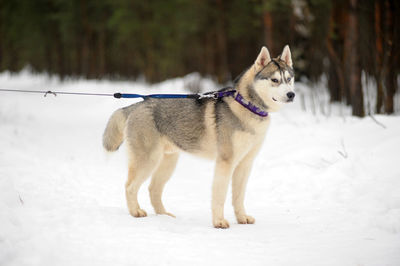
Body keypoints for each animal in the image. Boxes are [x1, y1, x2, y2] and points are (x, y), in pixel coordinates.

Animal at [103, 45, 294, 229]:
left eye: (289, 79)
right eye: (274, 80)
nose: (291, 95)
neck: (247, 106)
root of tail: (135, 106)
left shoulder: (245, 164)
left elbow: (238, 196)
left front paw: (242, 218)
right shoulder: (225, 162)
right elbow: (220, 196)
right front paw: (219, 222)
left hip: (168, 162)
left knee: (153, 188)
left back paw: (164, 215)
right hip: (148, 160)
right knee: (130, 186)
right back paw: (136, 212)